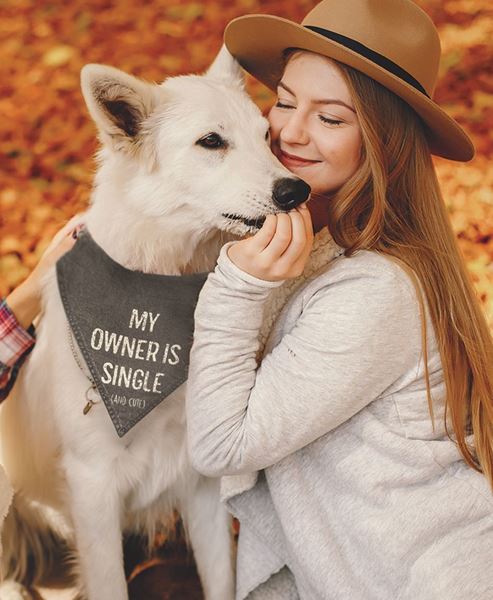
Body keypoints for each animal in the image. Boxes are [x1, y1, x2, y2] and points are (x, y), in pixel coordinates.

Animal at [0, 48, 308, 600]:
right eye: (212, 141)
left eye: (266, 135)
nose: (297, 191)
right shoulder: (94, 492)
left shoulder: (200, 484)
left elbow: (220, 579)